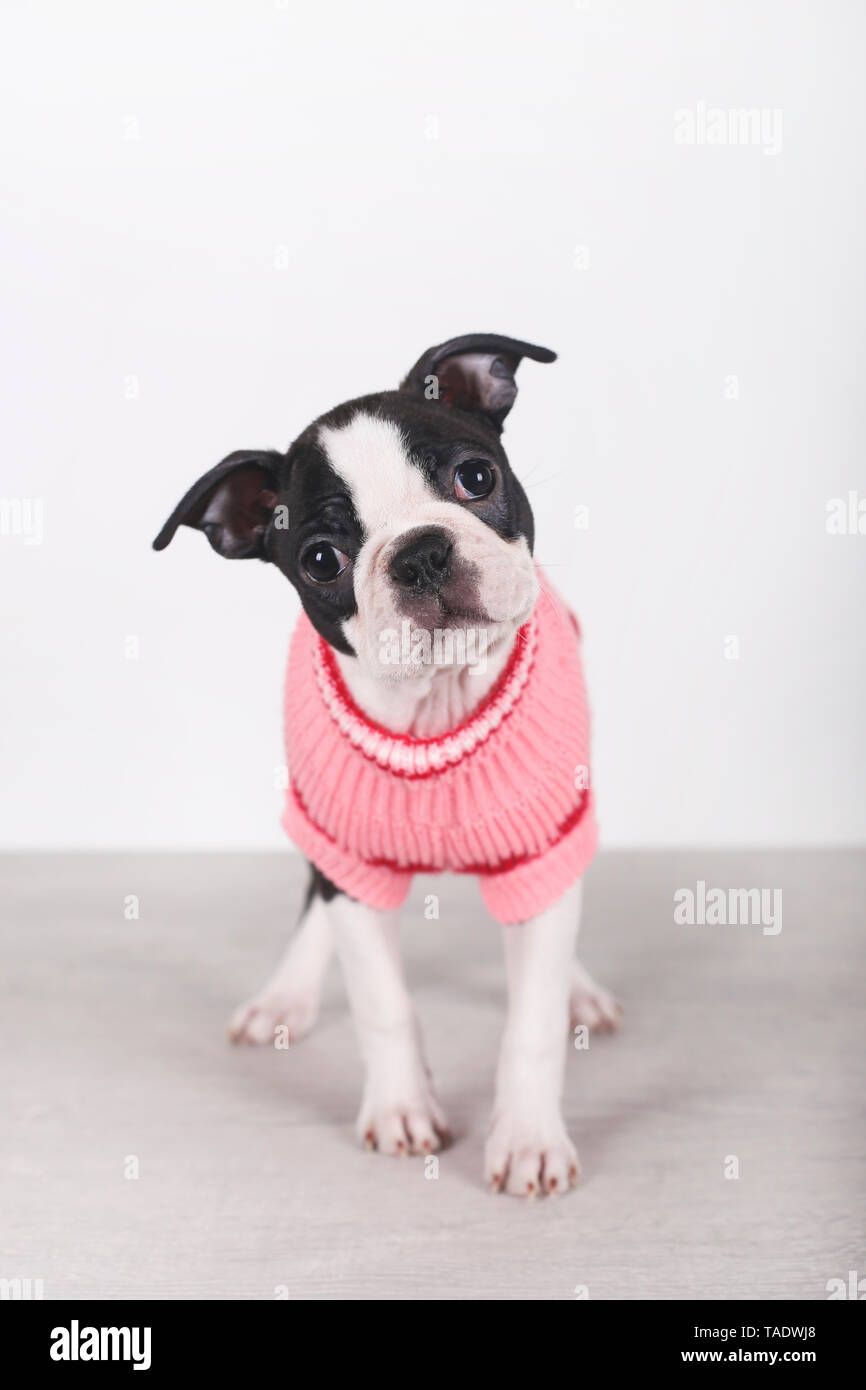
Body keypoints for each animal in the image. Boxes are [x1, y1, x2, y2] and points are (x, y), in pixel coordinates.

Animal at [154, 333, 617, 1195]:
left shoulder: (542, 844)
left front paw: (529, 1138)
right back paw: (285, 998)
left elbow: (531, 1019)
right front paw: (402, 1107)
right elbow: (381, 1003)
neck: (437, 705)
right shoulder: (352, 858)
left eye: (477, 478)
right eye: (322, 558)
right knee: (319, 896)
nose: (421, 554)